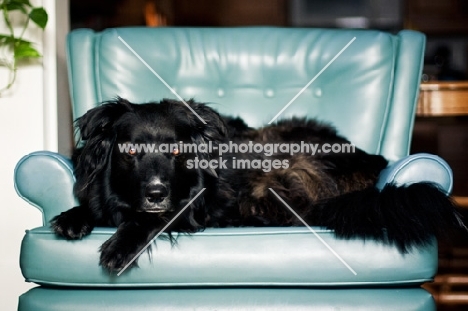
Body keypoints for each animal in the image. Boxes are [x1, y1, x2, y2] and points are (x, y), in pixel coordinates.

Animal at [50, 98, 464, 272]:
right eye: (131, 150)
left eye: (177, 150)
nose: (155, 194)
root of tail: (371, 160)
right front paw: (73, 217)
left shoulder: (193, 208)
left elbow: (150, 219)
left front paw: (120, 245)